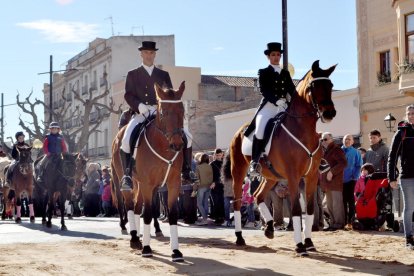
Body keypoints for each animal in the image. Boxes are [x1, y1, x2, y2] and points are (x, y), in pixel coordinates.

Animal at [111, 81, 186, 262]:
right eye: (163, 112)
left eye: (182, 111)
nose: (177, 144)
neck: (164, 147)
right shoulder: (148, 184)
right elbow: (148, 214)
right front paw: (146, 248)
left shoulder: (173, 184)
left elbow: (172, 214)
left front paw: (176, 251)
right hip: (128, 182)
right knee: (130, 205)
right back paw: (134, 239)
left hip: (140, 184)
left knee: (137, 206)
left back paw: (138, 236)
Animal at [226, 61, 336, 256]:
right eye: (314, 86)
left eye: (330, 85)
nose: (329, 113)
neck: (302, 130)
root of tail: (239, 131)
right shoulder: (293, 176)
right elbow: (296, 210)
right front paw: (300, 246)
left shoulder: (312, 176)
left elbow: (309, 209)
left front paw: (309, 242)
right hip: (238, 171)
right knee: (238, 203)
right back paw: (239, 237)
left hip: (271, 176)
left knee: (258, 195)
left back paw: (269, 227)